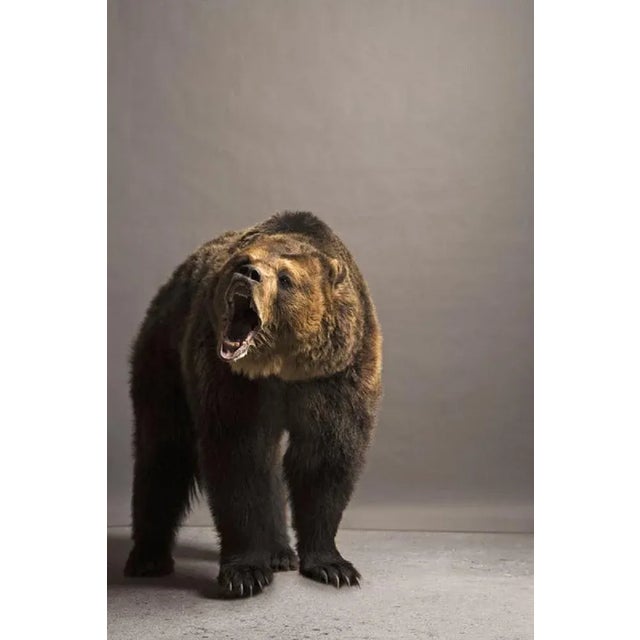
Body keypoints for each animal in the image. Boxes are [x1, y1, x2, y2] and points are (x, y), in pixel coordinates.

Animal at [123, 211, 382, 597]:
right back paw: (148, 558)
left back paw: (280, 553)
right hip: (164, 355)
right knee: (163, 452)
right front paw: (245, 572)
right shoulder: (231, 380)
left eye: (286, 279)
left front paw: (333, 566)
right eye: (243, 261)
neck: (282, 366)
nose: (248, 274)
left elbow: (324, 458)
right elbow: (240, 459)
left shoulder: (336, 377)